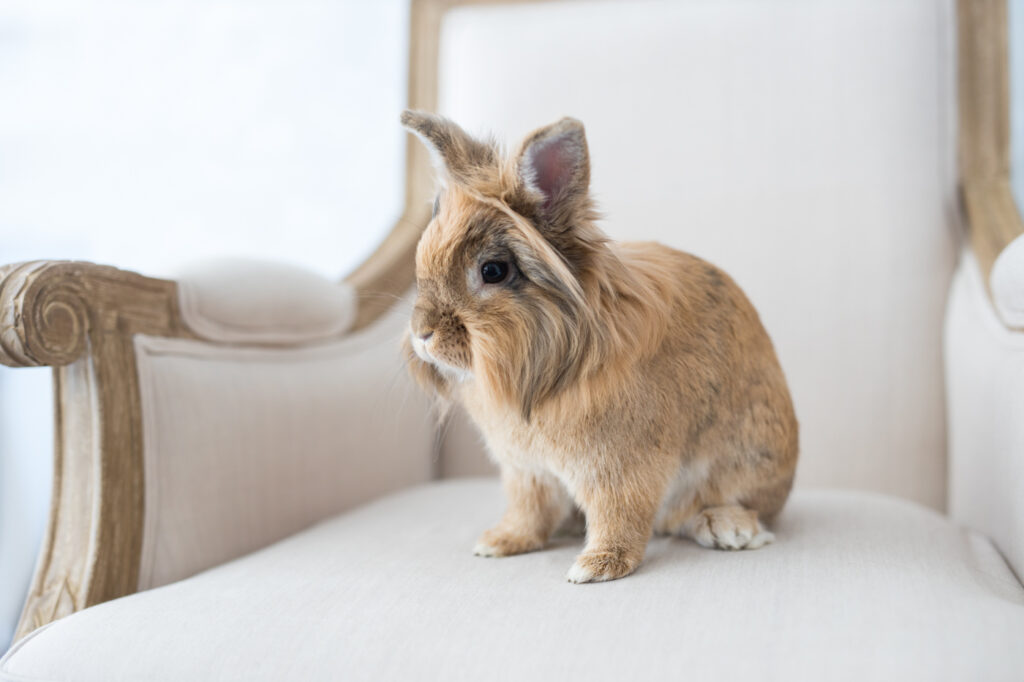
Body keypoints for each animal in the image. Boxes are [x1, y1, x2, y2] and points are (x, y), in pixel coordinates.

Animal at [400, 110, 798, 583]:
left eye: (493, 270)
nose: (423, 334)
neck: (545, 363)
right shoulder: (527, 472)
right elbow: (529, 511)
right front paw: (500, 543)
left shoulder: (620, 469)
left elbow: (619, 515)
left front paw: (596, 567)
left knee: (720, 512)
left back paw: (728, 528)